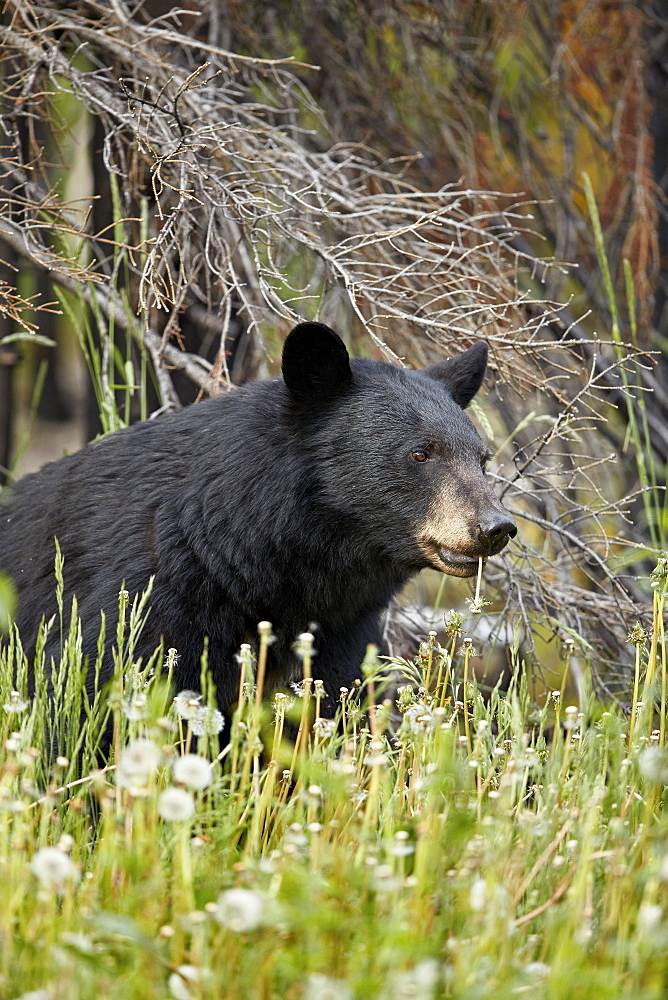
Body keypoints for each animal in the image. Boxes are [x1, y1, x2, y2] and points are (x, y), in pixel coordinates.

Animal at [0, 322, 516, 712]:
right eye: (421, 453)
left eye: (481, 458)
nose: (497, 527)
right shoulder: (136, 602)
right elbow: (83, 698)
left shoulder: (339, 633)